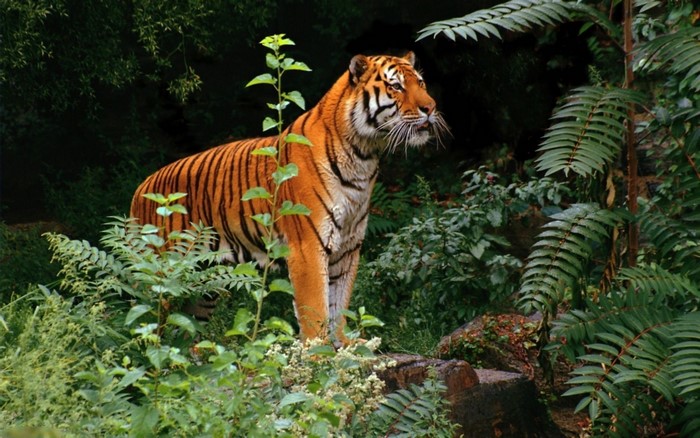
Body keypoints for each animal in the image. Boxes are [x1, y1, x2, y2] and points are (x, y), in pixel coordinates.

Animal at [130, 51, 448, 345]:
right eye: (396, 86)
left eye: (421, 83)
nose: (431, 107)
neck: (363, 156)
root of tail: (139, 189)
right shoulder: (308, 247)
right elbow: (316, 308)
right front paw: (317, 354)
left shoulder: (347, 249)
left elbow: (339, 304)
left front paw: (344, 346)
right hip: (163, 275)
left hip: (204, 283)